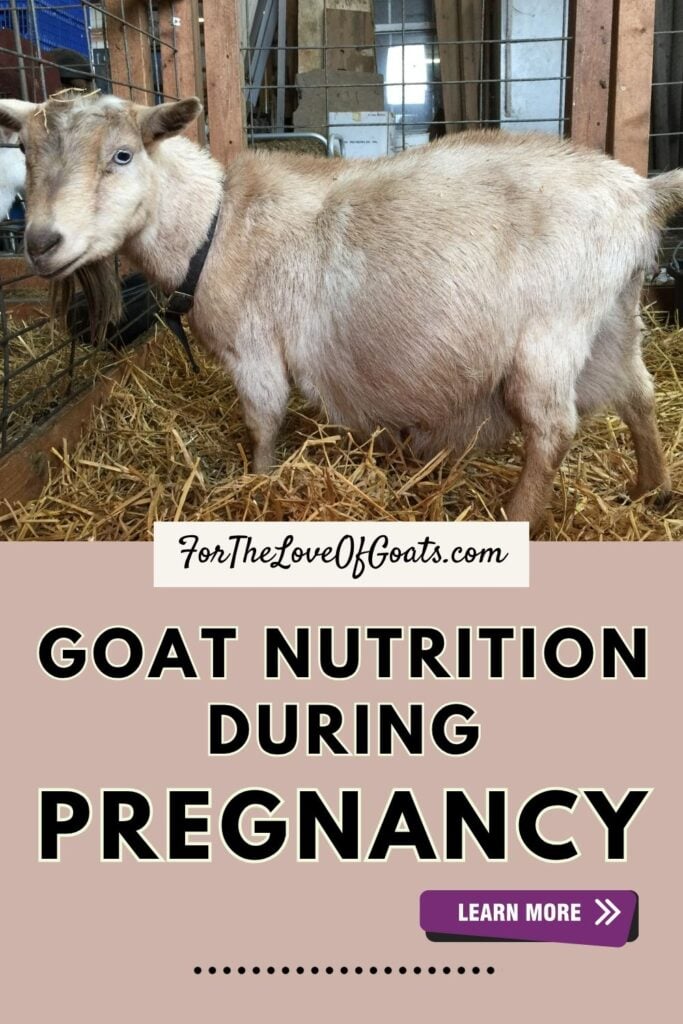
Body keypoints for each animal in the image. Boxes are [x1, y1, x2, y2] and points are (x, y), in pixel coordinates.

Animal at [0, 93, 680, 528]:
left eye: (122, 155)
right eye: (25, 152)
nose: (41, 242)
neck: (214, 225)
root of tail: (640, 194)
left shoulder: (253, 346)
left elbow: (263, 420)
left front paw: (260, 485)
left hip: (550, 331)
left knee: (552, 428)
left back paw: (517, 518)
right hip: (613, 317)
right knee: (640, 393)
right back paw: (650, 487)